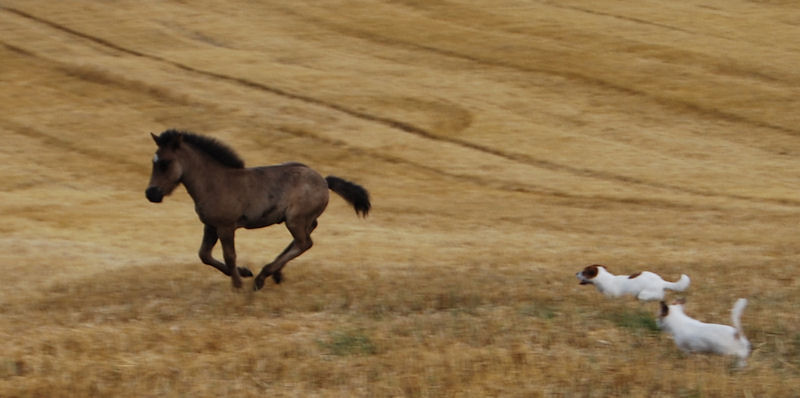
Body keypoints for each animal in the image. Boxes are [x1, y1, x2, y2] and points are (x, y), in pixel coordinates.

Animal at [145, 130, 370, 290]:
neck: (214, 183)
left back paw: (263, 276)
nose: (151, 194)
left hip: (295, 219)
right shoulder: (210, 226)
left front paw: (238, 284)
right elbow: (204, 255)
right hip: (300, 219)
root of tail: (324, 181)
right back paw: (274, 273)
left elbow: (229, 255)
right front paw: (244, 272)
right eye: (153, 162)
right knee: (306, 236)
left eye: (165, 163)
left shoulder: (226, 226)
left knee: (304, 242)